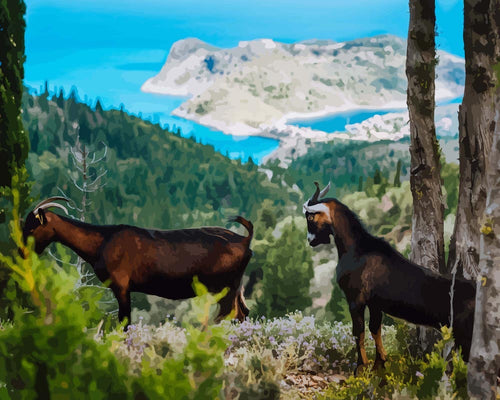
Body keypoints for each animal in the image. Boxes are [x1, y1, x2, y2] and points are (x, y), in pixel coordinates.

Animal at [21, 197, 252, 324]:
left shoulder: (121, 286)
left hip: (224, 288)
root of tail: (244, 240)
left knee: (231, 315)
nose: (22, 250)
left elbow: (124, 321)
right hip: (234, 288)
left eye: (32, 227)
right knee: (242, 313)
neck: (103, 241)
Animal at [302, 183, 474, 374]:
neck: (357, 249)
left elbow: (359, 332)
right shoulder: (374, 304)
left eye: (310, 216)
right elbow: (375, 329)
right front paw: (379, 364)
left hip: (465, 336)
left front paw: (360, 368)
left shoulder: (355, 299)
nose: (310, 240)